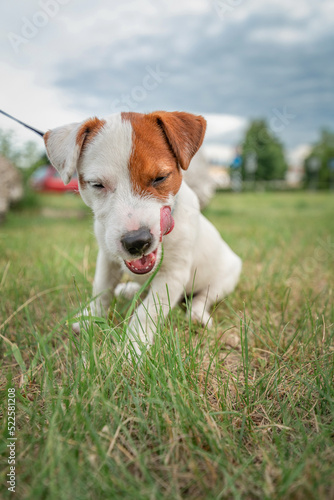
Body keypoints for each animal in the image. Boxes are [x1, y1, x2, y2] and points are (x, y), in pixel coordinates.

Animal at [43, 112, 243, 358]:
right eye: (97, 184)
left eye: (160, 178)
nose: (136, 242)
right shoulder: (107, 259)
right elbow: (101, 290)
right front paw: (91, 318)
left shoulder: (172, 275)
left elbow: (147, 312)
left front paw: (132, 348)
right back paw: (129, 290)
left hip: (224, 280)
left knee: (202, 297)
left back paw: (197, 315)